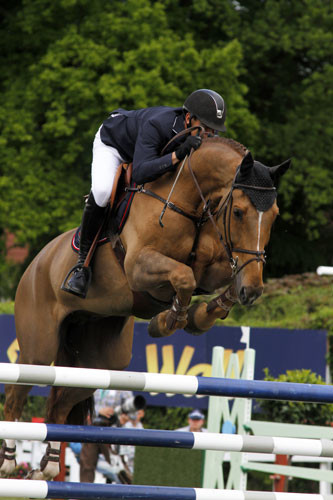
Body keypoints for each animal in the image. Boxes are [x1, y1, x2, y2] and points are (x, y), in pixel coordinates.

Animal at [0, 135, 288, 478]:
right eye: (240, 212)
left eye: (274, 216)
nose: (253, 291)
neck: (188, 202)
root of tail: (36, 263)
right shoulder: (140, 267)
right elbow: (184, 276)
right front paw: (168, 321)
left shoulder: (218, 265)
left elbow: (217, 282)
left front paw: (200, 317)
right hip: (39, 350)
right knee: (16, 394)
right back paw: (10, 461)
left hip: (100, 363)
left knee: (60, 404)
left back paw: (47, 467)